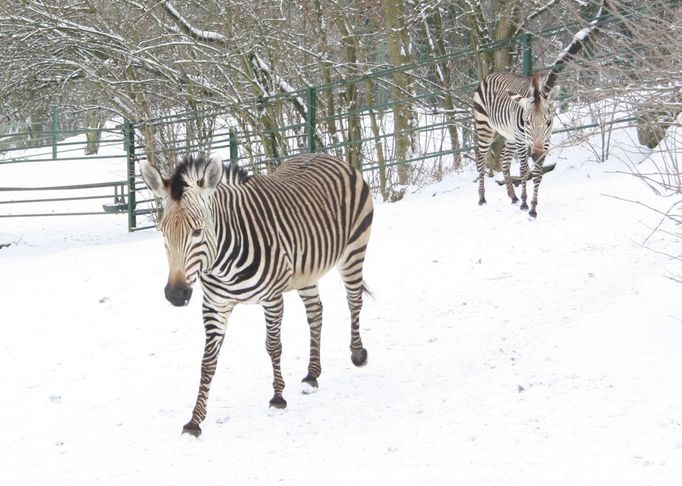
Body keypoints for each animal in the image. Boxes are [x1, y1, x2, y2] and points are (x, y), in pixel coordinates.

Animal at [139, 153, 372, 436]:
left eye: (197, 231)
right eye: (163, 232)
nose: (175, 294)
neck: (222, 263)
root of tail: (323, 154)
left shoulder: (272, 298)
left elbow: (273, 346)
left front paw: (278, 398)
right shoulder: (215, 305)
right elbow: (208, 361)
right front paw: (195, 421)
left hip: (354, 250)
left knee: (354, 300)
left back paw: (357, 354)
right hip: (306, 271)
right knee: (316, 313)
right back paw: (312, 375)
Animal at [470, 71, 556, 217]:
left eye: (548, 122)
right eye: (527, 122)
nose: (536, 155)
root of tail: (490, 75)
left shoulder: (546, 141)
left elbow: (538, 173)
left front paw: (533, 207)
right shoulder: (521, 141)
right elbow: (524, 171)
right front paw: (524, 203)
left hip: (510, 136)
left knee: (504, 163)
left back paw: (513, 197)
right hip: (484, 127)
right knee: (481, 162)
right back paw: (482, 198)